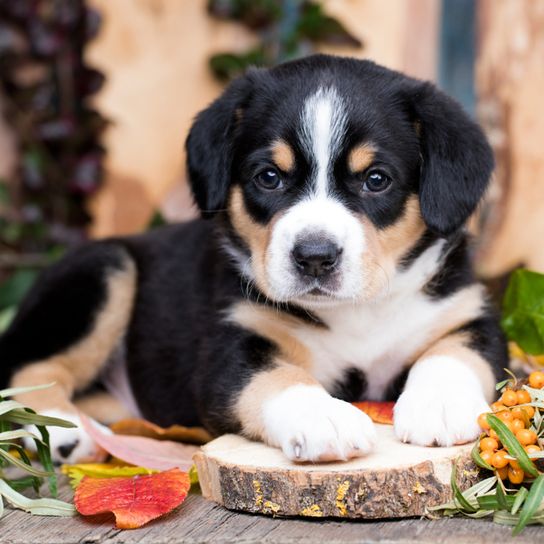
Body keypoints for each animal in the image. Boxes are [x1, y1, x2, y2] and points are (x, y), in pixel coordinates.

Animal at [1, 54, 510, 464]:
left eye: (376, 179)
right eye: (269, 177)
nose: (315, 257)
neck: (355, 312)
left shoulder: (468, 315)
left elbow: (452, 354)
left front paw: (439, 406)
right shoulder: (231, 347)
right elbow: (278, 377)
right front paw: (324, 419)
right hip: (104, 268)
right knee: (26, 368)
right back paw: (62, 432)